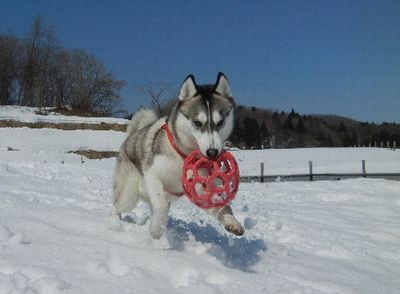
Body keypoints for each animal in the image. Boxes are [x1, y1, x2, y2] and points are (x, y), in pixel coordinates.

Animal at [111, 73, 245, 239]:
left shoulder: (201, 186)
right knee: (117, 206)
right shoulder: (152, 175)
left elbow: (218, 203)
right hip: (129, 193)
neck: (184, 156)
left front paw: (232, 221)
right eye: (197, 123)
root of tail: (132, 135)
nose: (212, 152)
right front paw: (156, 229)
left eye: (220, 122)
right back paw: (114, 223)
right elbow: (161, 205)